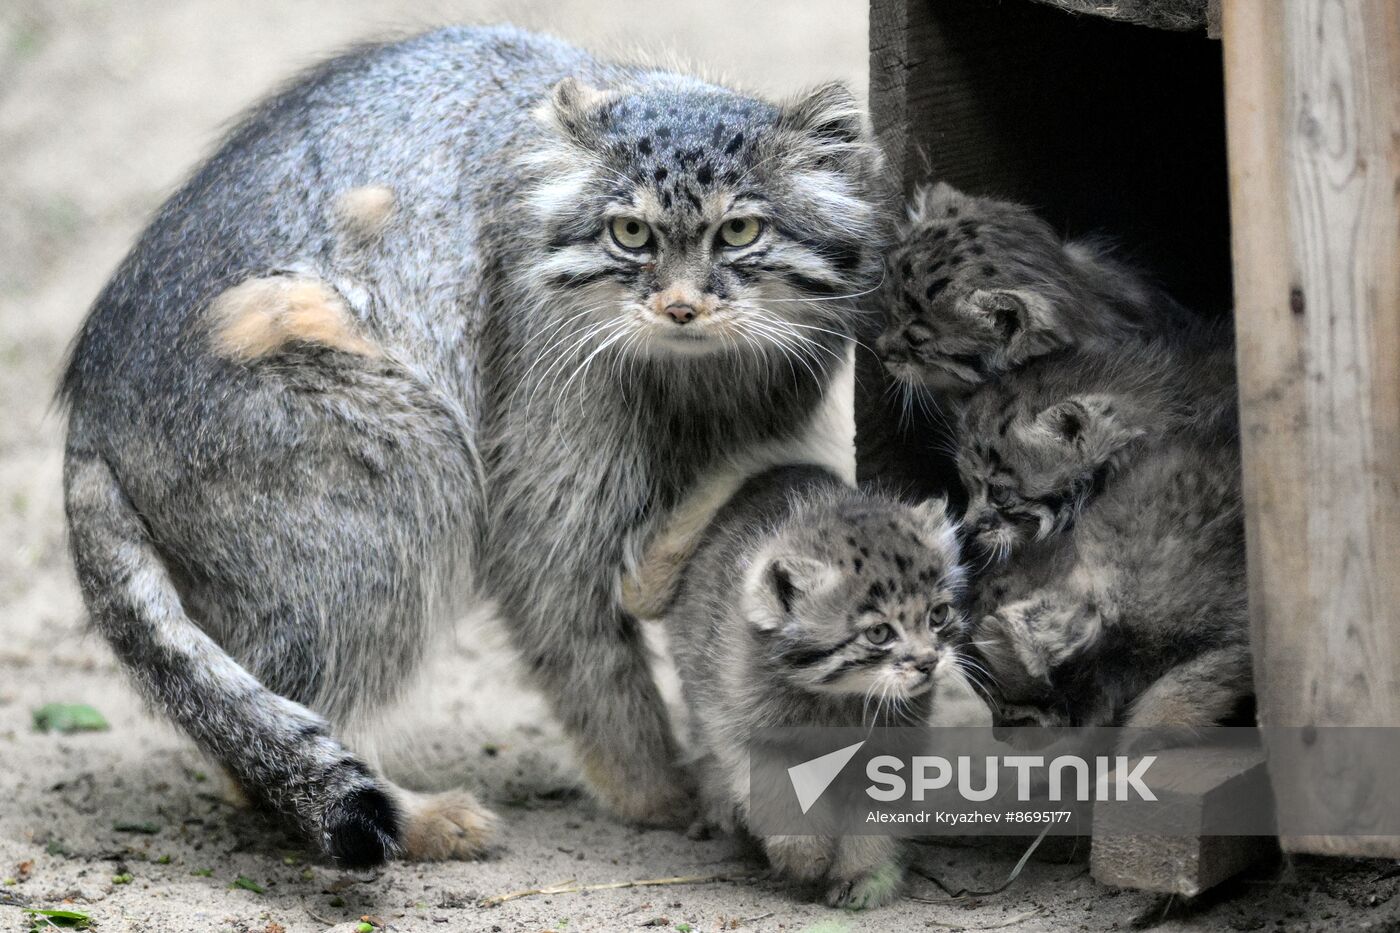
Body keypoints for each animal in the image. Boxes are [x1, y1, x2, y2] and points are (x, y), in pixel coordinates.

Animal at [666, 462, 963, 902]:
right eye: (879, 633)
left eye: (939, 614)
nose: (928, 663)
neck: (836, 699)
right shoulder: (747, 731)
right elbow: (778, 792)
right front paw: (804, 857)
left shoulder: (890, 746)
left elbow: (875, 812)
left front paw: (864, 874)